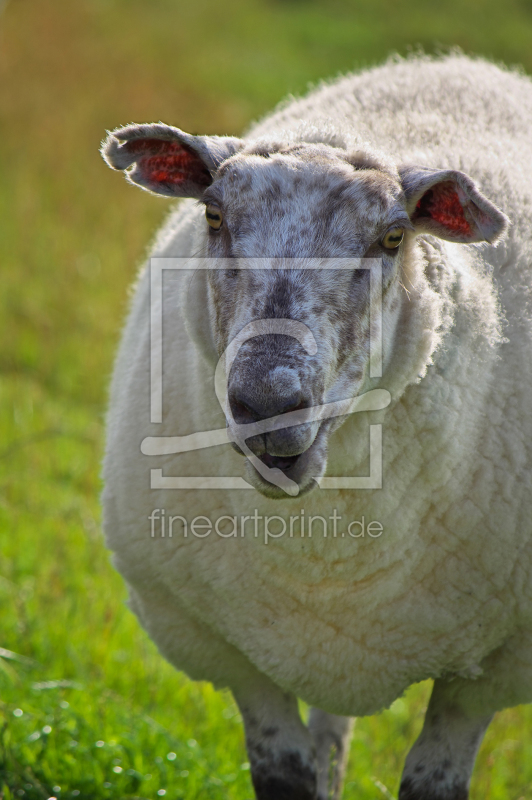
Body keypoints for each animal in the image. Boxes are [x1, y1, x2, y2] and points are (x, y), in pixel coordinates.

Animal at [100, 53, 532, 796]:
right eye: (213, 213)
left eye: (393, 238)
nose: (269, 401)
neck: (324, 556)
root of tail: (457, 60)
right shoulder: (230, 652)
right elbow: (288, 776)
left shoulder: (488, 676)